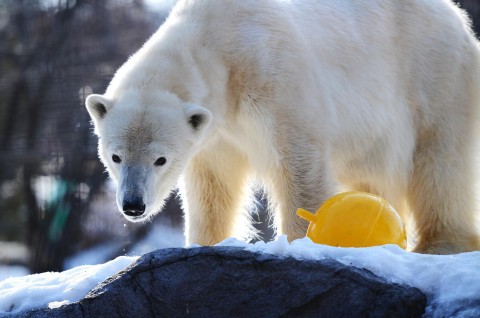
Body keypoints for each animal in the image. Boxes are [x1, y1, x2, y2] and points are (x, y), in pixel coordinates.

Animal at [87, 0, 480, 253]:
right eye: (116, 157)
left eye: (160, 160)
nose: (133, 206)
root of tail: (457, 16)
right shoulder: (215, 131)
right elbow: (212, 183)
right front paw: (203, 243)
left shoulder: (272, 76)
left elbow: (299, 162)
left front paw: (304, 242)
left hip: (435, 74)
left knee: (440, 161)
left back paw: (443, 243)